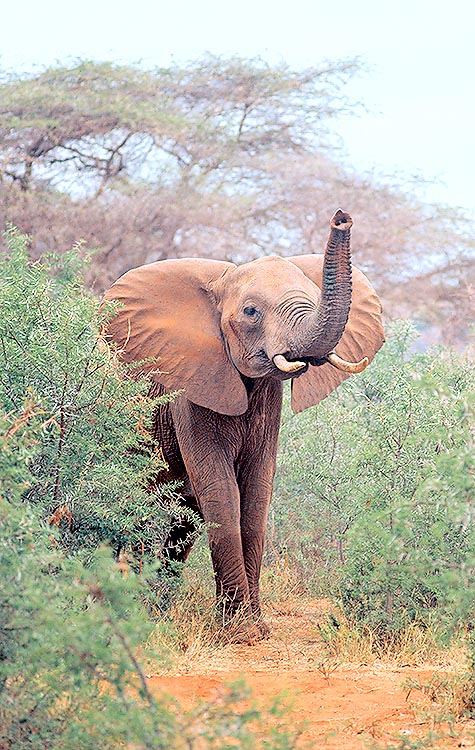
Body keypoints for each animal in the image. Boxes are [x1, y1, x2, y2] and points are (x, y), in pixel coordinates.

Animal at [106, 210, 384, 640]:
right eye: (251, 312)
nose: (342, 218)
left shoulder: (268, 396)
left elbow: (256, 493)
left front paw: (256, 626)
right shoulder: (193, 385)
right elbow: (221, 492)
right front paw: (242, 634)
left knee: (181, 519)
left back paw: (158, 611)